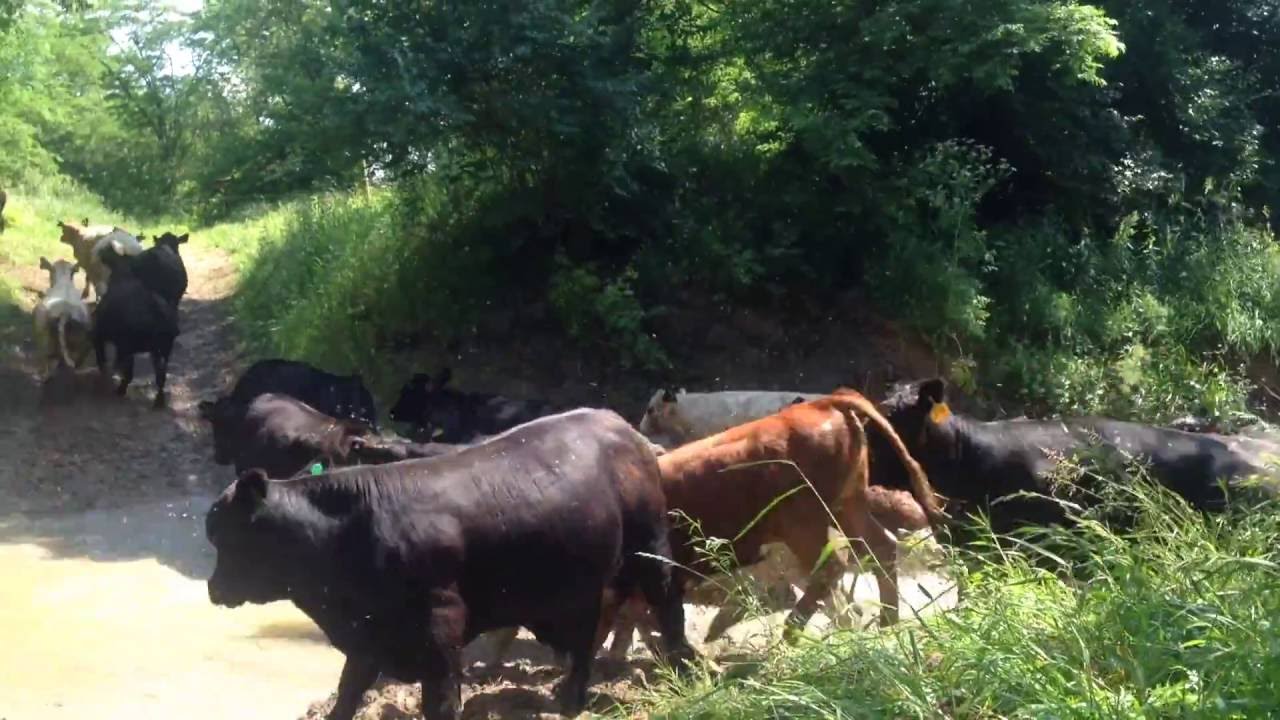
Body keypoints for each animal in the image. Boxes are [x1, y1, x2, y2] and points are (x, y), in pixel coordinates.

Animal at [91, 245, 178, 408]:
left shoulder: (102, 337)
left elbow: (105, 362)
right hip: (163, 349)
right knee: (161, 376)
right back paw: (158, 401)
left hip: (132, 347)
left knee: (130, 372)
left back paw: (120, 389)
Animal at [205, 408, 696, 720]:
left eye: (229, 537)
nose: (213, 588)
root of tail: (619, 425)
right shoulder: (369, 637)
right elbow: (347, 693)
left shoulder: (439, 632)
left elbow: (440, 704)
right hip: (577, 585)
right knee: (583, 639)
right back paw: (570, 700)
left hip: (649, 547)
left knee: (667, 606)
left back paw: (684, 672)